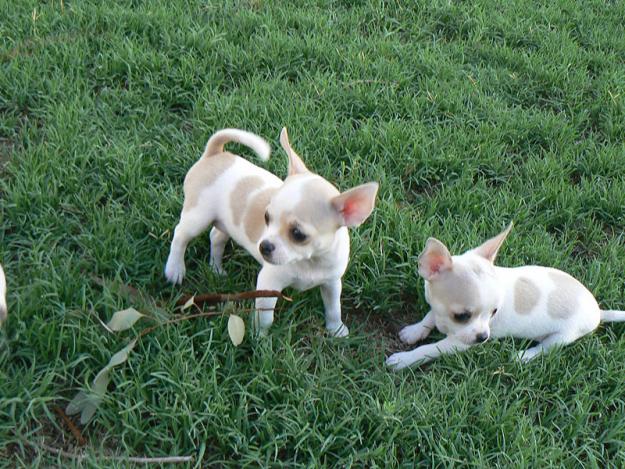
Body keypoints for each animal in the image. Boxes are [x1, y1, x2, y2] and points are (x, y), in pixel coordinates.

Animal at [163, 126, 378, 334]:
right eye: (266, 217)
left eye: (298, 234)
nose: (263, 246)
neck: (310, 262)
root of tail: (215, 153)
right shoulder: (268, 284)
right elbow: (266, 317)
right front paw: (260, 338)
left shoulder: (332, 283)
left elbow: (333, 307)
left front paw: (336, 330)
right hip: (198, 217)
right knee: (180, 236)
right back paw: (174, 269)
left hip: (225, 222)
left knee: (216, 237)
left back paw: (216, 269)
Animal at [386, 223, 624, 370]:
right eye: (462, 316)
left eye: (494, 312)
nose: (483, 337)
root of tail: (598, 311)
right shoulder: (437, 309)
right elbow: (430, 316)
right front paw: (415, 331)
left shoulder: (458, 344)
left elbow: (429, 349)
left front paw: (404, 359)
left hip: (565, 335)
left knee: (547, 349)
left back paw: (524, 356)